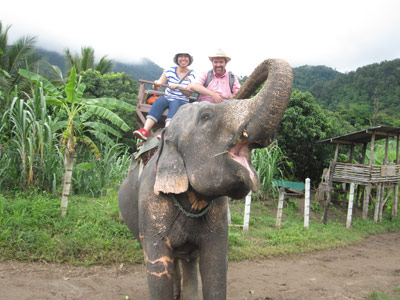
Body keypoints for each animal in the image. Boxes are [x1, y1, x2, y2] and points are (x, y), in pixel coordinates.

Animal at [117, 57, 292, 298]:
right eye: (206, 116)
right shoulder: (151, 202)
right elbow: (158, 268)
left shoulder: (218, 213)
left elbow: (215, 266)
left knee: (188, 259)